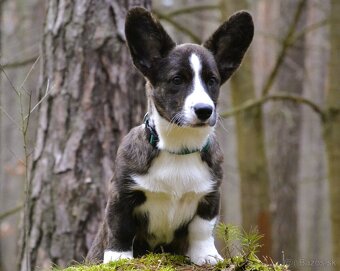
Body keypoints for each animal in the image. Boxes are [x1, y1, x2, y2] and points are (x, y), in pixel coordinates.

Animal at [86, 6, 254, 268]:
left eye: (212, 81)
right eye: (177, 80)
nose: (205, 110)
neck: (179, 147)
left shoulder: (210, 195)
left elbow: (202, 229)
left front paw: (206, 255)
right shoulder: (122, 192)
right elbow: (120, 226)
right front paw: (118, 258)